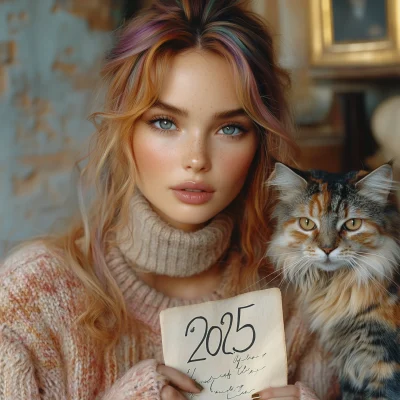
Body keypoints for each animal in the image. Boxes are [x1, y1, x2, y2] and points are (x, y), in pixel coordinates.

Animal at [266, 163, 400, 400]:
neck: (334, 287)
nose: (327, 249)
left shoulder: (383, 363)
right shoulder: (351, 364)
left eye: (353, 224)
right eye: (307, 223)